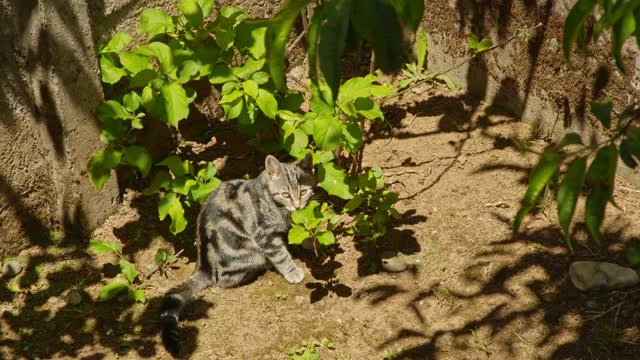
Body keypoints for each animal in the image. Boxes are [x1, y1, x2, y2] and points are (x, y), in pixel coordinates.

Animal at [158, 154, 312, 354]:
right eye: (286, 194)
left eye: (303, 192)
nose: (298, 205)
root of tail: (204, 266)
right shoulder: (264, 235)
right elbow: (281, 255)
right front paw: (293, 272)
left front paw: (309, 242)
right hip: (250, 254)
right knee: (223, 281)